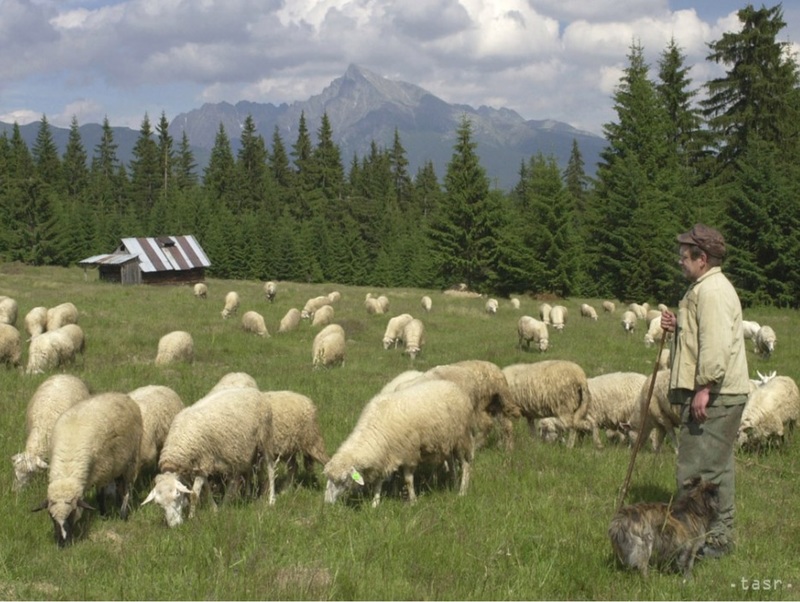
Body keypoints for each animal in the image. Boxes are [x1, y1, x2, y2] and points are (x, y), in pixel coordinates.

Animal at [35, 392, 143, 548]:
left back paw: (123, 513)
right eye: (50, 516)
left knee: (128, 486)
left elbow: (100, 497)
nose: (63, 543)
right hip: (118, 463)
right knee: (119, 484)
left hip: (132, 458)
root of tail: (119, 395)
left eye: (72, 513)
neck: (68, 467)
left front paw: (104, 515)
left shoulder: (102, 472)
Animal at [143, 386, 278, 524]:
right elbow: (206, 489)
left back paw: (271, 499)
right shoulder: (202, 465)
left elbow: (194, 494)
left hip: (265, 437)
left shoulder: (203, 462)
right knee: (243, 473)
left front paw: (191, 517)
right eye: (159, 504)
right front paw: (215, 509)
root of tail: (255, 391)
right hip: (240, 450)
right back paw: (244, 497)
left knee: (271, 470)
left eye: (177, 496)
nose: (175, 525)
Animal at [324, 380, 476, 506]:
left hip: (461, 438)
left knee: (465, 464)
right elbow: (381, 480)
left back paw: (462, 491)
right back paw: (454, 483)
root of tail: (454, 386)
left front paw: (413, 500)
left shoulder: (409, 452)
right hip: (447, 441)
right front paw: (376, 501)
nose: (327, 502)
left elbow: (408, 479)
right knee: (451, 462)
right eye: (329, 478)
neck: (375, 429)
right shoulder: (388, 454)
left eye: (343, 480)